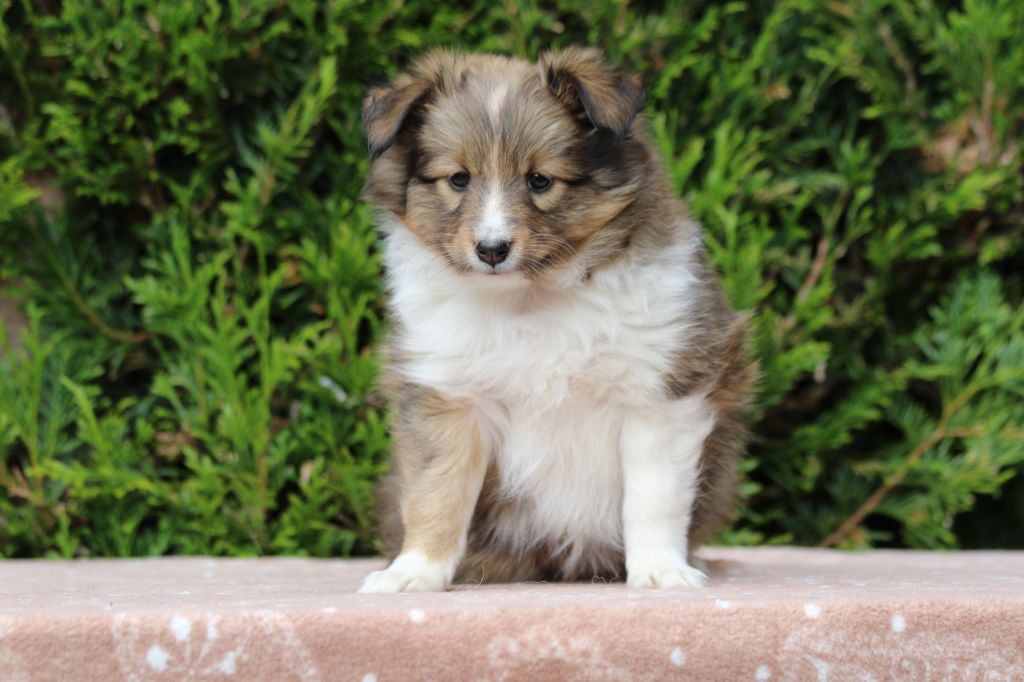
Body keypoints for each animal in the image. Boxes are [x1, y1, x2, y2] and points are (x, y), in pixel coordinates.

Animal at [358, 47, 755, 592]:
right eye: (458, 179)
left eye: (540, 180)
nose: (491, 249)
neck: (530, 296)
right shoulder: (449, 398)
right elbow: (437, 493)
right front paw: (413, 572)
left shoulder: (659, 393)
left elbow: (654, 497)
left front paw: (661, 572)